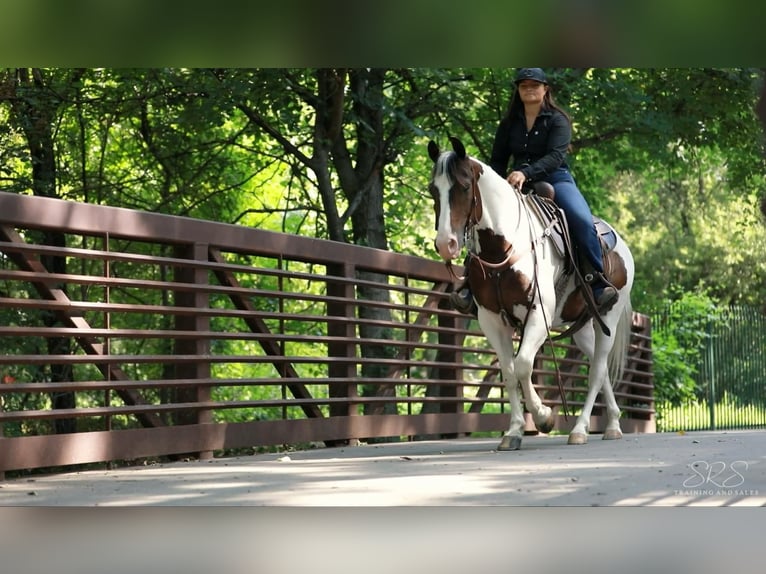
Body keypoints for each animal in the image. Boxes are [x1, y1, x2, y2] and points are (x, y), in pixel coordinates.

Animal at [426, 137, 636, 452]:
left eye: (463, 185)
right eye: (432, 189)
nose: (445, 244)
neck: (504, 247)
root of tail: (621, 244)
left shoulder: (538, 315)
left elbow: (524, 364)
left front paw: (544, 417)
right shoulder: (491, 321)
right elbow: (510, 371)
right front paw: (513, 432)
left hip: (607, 317)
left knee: (597, 371)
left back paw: (581, 429)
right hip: (583, 326)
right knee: (600, 371)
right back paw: (612, 424)